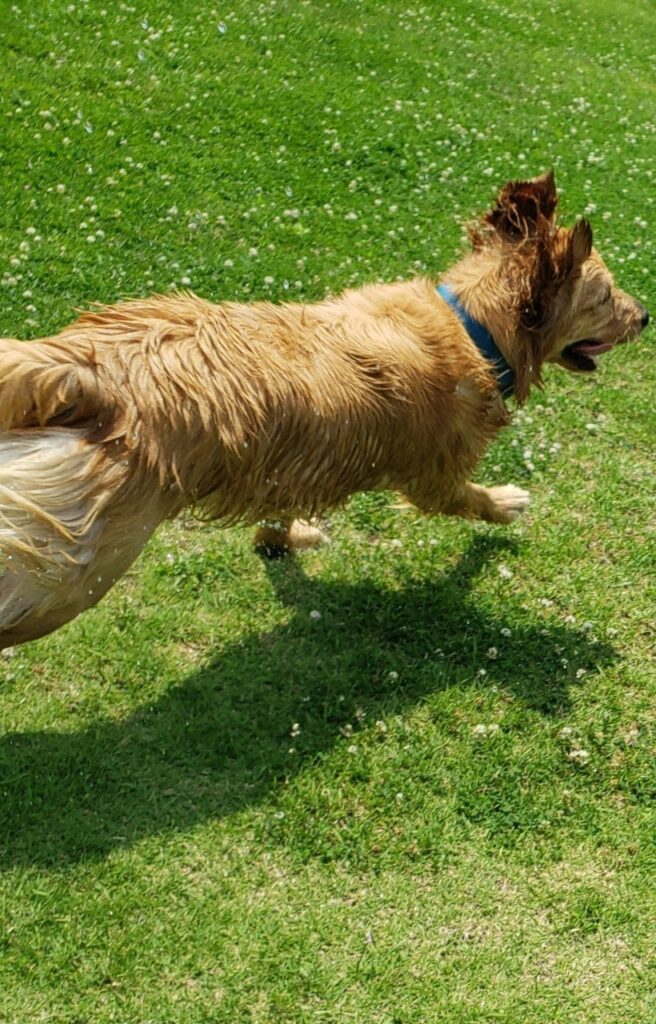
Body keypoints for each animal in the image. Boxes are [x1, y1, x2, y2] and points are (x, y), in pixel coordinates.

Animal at [0, 171, 648, 648]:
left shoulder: (287, 459)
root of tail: (89, 369)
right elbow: (471, 500)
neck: (472, 325)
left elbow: (279, 510)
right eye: (604, 296)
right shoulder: (434, 476)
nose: (645, 316)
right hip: (79, 570)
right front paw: (507, 504)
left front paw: (279, 539)